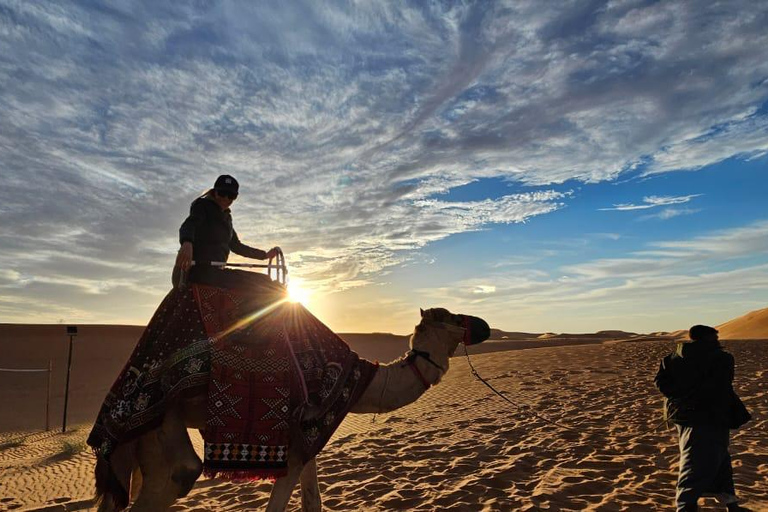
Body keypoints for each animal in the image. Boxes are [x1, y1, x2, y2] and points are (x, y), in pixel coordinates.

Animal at [95, 307, 490, 511]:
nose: (485, 326)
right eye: (453, 317)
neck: (359, 381)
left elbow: (313, 502)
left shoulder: (307, 441)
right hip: (161, 418)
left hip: (146, 443)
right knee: (183, 469)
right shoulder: (292, 443)